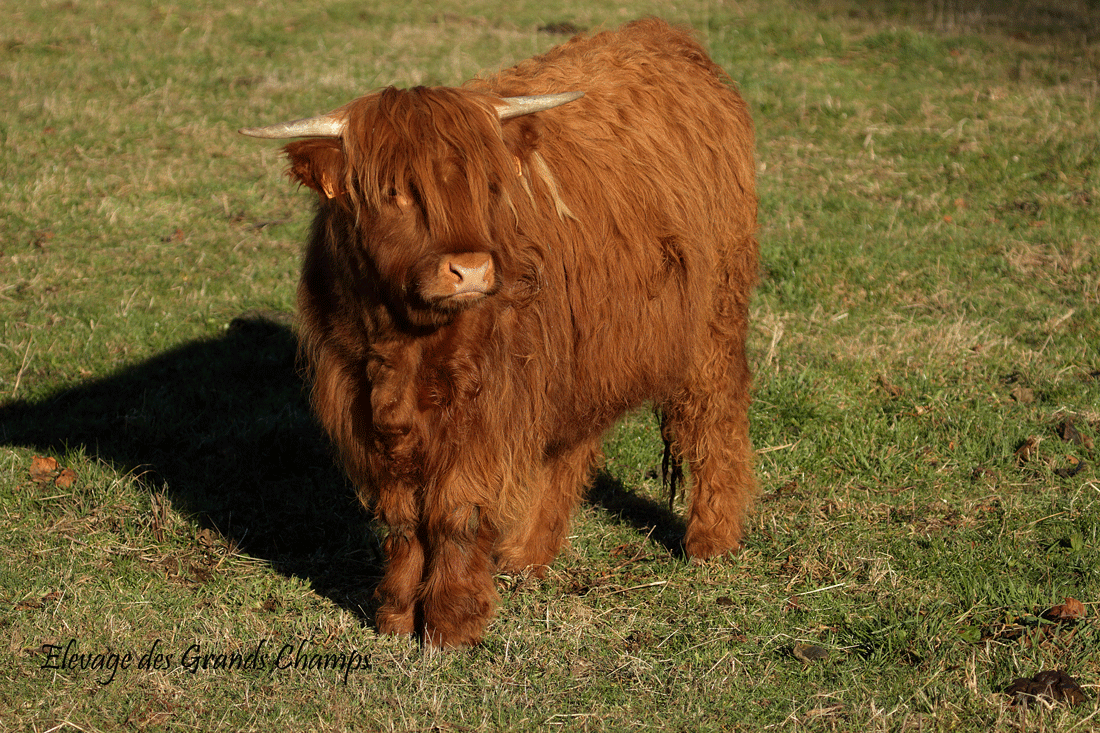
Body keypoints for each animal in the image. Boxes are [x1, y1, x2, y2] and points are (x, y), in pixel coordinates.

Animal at [239, 17, 756, 647]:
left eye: (488, 185)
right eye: (394, 192)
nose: (471, 269)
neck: (406, 346)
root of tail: (665, 33)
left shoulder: (486, 405)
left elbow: (455, 511)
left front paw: (451, 623)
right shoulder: (359, 399)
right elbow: (401, 517)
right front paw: (394, 615)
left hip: (713, 316)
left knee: (712, 414)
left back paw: (711, 540)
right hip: (580, 349)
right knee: (572, 442)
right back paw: (525, 554)